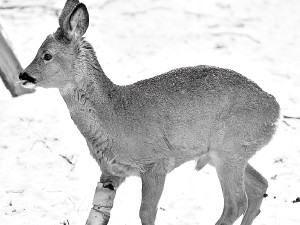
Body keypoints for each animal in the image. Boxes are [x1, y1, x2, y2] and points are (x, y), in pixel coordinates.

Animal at [19, 0, 278, 224]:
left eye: (47, 55)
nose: (23, 75)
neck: (113, 116)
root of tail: (274, 109)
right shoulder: (110, 171)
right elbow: (97, 214)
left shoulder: (157, 162)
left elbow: (146, 213)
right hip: (228, 153)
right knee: (260, 186)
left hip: (230, 148)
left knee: (236, 203)